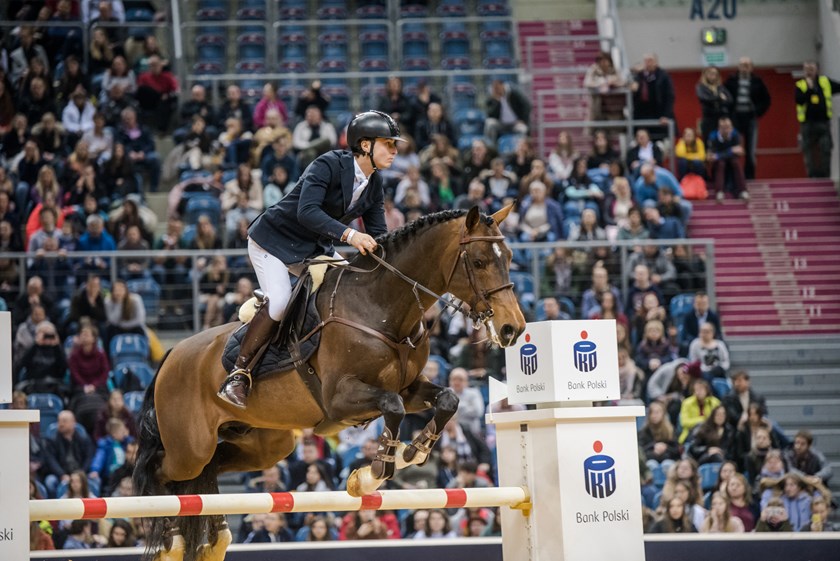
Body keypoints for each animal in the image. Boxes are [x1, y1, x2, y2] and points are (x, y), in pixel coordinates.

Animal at [133, 206, 526, 561]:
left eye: (508, 258)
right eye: (479, 262)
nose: (513, 328)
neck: (381, 307)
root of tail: (172, 355)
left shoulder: (410, 387)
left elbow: (446, 400)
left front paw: (414, 450)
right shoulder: (340, 399)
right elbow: (392, 407)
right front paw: (375, 471)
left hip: (265, 444)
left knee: (210, 469)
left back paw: (216, 540)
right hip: (190, 447)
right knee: (163, 472)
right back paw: (172, 539)